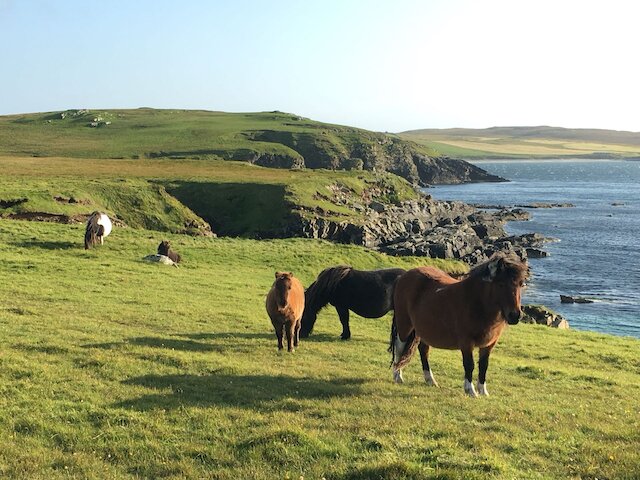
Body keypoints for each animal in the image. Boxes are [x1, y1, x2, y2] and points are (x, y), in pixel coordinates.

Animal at [389, 252, 528, 397]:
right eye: (501, 284)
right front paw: (471, 390)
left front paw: (483, 391)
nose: (515, 315)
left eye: (521, 284)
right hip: (404, 325)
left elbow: (484, 366)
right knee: (399, 347)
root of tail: (404, 276)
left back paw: (430, 380)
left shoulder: (489, 344)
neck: (477, 302)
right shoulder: (466, 342)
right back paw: (397, 376)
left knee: (424, 350)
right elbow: (469, 365)